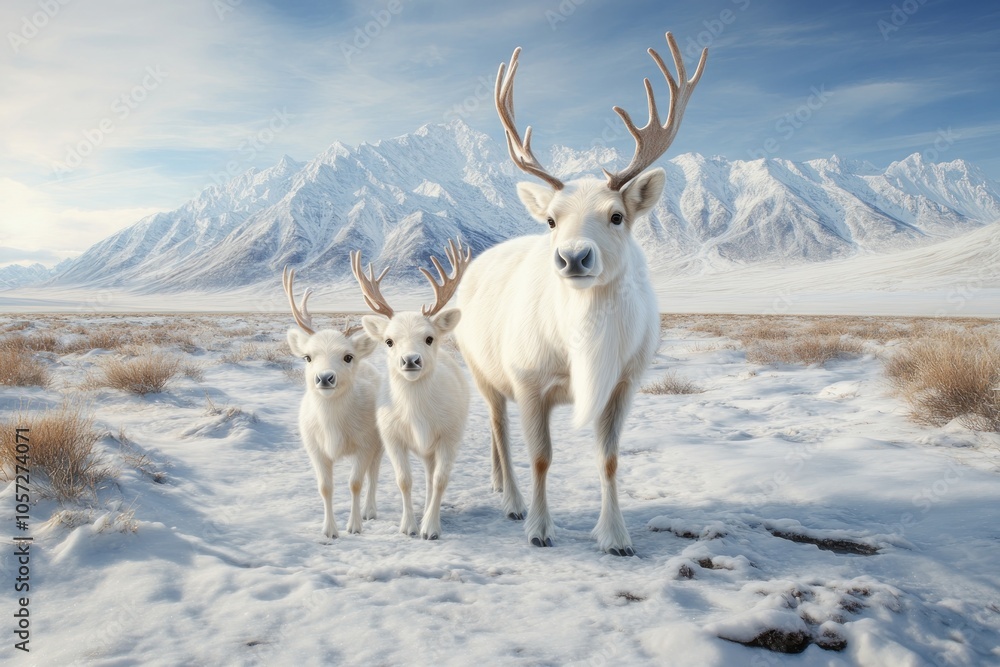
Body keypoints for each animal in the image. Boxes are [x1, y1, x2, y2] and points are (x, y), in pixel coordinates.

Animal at [283, 266, 383, 539]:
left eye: (348, 356)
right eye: (307, 357)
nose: (325, 377)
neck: (333, 428)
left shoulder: (365, 443)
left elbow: (355, 483)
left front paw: (354, 525)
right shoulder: (314, 447)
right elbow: (325, 487)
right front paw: (329, 530)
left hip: (381, 441)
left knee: (374, 473)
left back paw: (370, 511)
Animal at [351, 239, 471, 540]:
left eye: (429, 338)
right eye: (389, 341)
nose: (411, 360)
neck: (418, 416)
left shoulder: (450, 435)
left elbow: (440, 480)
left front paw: (430, 528)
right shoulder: (392, 436)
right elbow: (404, 480)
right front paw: (408, 526)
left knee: (431, 478)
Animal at [454, 32, 707, 555]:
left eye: (617, 215)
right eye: (552, 219)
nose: (573, 257)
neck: (583, 351)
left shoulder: (624, 383)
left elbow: (609, 460)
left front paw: (616, 536)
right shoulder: (529, 380)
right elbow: (541, 457)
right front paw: (539, 528)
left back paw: (498, 485)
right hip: (481, 366)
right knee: (497, 426)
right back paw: (511, 500)